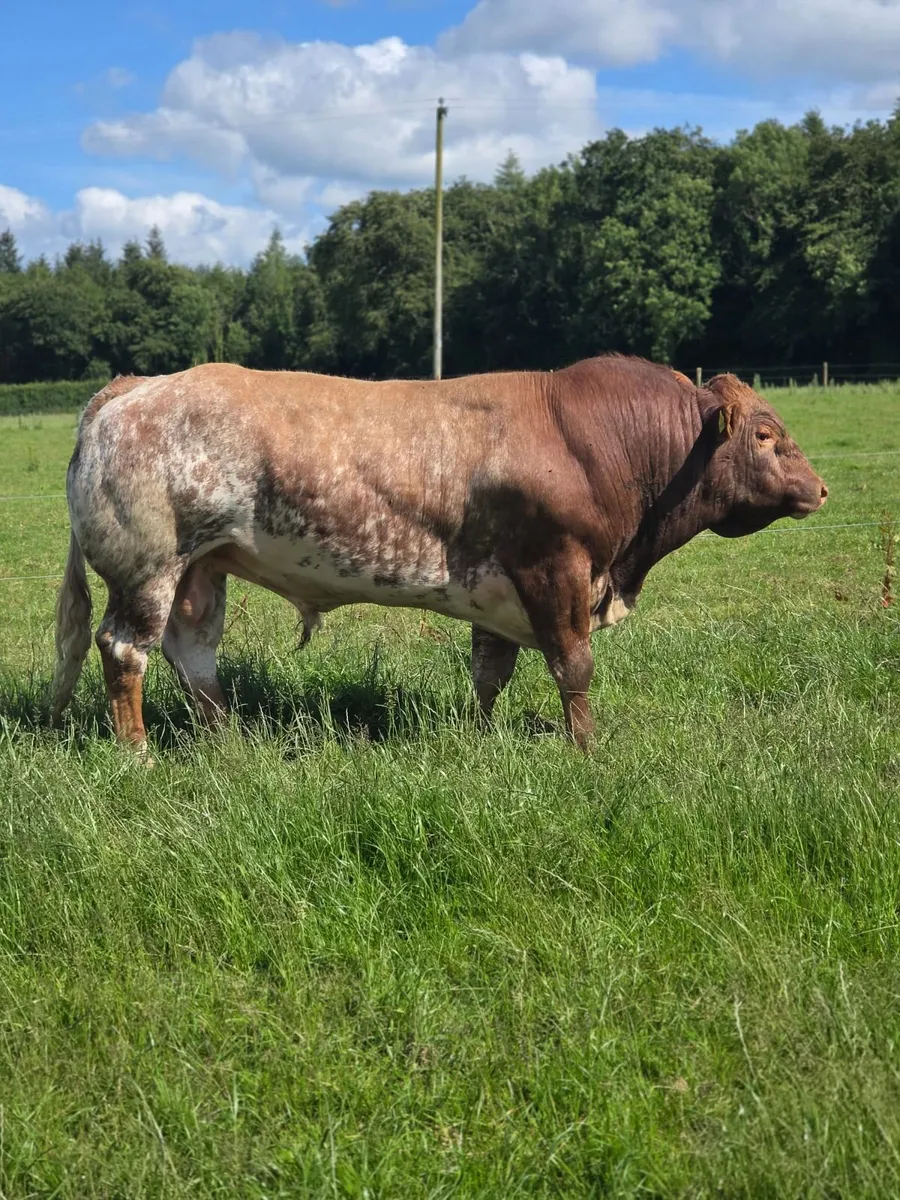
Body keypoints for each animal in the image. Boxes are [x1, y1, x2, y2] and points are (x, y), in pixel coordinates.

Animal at [50, 355, 827, 756]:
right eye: (764, 435)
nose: (820, 489)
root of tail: (133, 387)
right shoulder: (556, 570)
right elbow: (574, 668)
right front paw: (586, 751)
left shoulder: (499, 590)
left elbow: (490, 673)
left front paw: (482, 737)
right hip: (150, 566)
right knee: (124, 649)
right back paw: (138, 752)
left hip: (202, 569)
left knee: (192, 653)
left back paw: (229, 742)